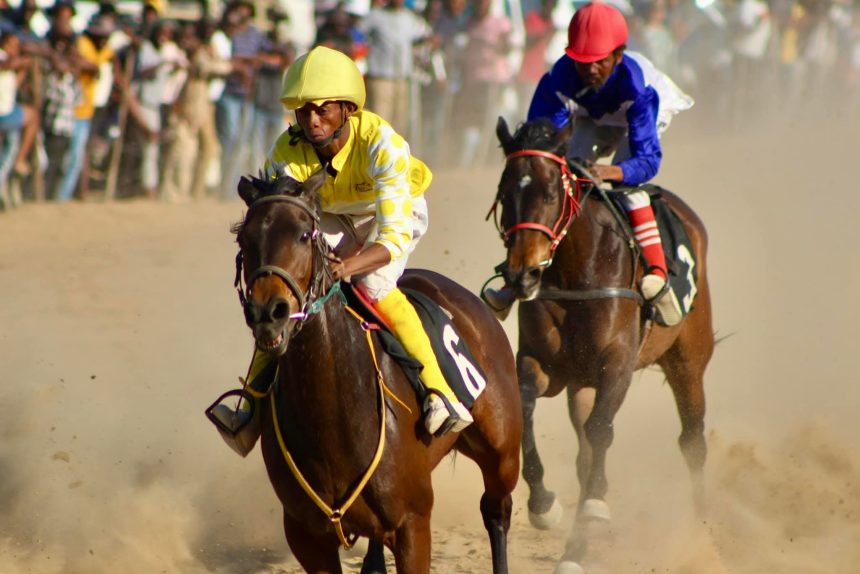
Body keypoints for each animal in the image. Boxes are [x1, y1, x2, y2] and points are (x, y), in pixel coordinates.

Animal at [231, 168, 522, 574]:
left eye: (304, 234)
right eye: (244, 238)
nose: (268, 312)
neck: (332, 416)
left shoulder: (413, 524)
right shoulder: (307, 537)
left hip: (502, 450)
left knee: (496, 511)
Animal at [490, 117, 714, 574]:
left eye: (551, 193)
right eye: (505, 195)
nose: (522, 274)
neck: (579, 272)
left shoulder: (618, 362)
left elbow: (600, 431)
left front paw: (592, 511)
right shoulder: (540, 363)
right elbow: (527, 410)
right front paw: (544, 505)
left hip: (689, 358)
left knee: (692, 439)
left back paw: (699, 529)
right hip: (581, 382)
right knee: (583, 450)